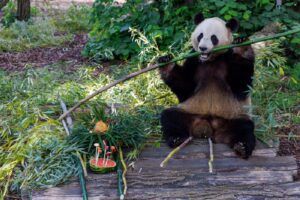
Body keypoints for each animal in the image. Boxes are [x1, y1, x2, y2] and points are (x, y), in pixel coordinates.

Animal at [158, 13, 254, 159]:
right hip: (191, 112)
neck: (210, 60)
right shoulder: (194, 60)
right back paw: (176, 139)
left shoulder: (227, 57)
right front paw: (166, 62)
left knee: (244, 128)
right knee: (170, 117)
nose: (203, 48)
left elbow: (241, 86)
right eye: (200, 35)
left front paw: (242, 47)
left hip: (235, 115)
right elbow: (185, 87)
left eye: (214, 38)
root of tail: (208, 127)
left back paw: (242, 147)